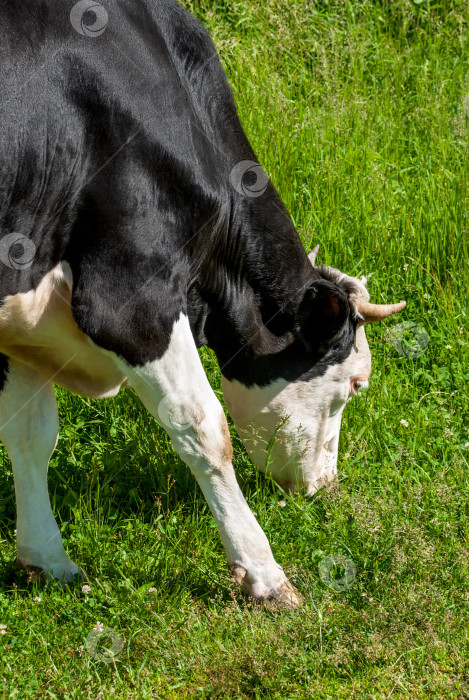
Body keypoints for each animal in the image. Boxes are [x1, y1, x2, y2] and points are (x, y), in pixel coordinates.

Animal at [0, 0, 402, 608]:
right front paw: (263, 573)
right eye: (356, 384)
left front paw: (46, 560)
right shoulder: (132, 299)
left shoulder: (25, 323)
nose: (323, 486)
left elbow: (30, 434)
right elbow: (206, 429)